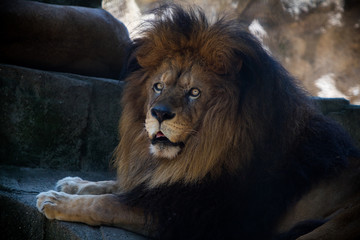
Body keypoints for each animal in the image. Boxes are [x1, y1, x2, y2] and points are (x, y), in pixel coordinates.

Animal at [36, 4, 360, 240]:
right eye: (158, 86)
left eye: (194, 92)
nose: (159, 113)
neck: (203, 152)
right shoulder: (169, 185)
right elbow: (114, 185)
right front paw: (74, 183)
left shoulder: (187, 216)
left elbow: (108, 203)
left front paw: (56, 201)